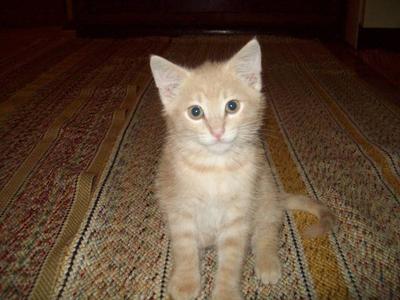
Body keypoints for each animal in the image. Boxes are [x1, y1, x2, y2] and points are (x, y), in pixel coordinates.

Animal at [150, 38, 334, 298]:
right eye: (195, 112)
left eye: (232, 106)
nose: (217, 131)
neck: (214, 168)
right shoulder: (178, 207)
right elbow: (184, 246)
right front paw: (186, 281)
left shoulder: (238, 215)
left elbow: (232, 258)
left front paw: (225, 291)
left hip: (265, 191)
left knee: (266, 230)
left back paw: (267, 261)